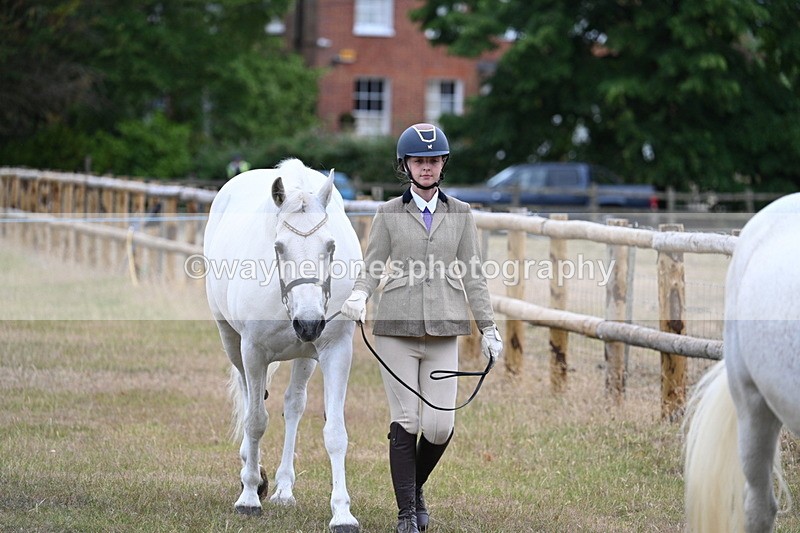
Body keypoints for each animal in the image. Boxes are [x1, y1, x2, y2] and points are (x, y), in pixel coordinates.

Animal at [203, 158, 362, 532]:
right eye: (279, 247)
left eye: (330, 246)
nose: (309, 322)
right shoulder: (252, 351)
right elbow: (256, 421)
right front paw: (249, 496)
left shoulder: (335, 350)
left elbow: (335, 432)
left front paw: (342, 513)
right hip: (231, 341)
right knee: (248, 397)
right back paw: (252, 473)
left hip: (306, 356)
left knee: (293, 406)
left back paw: (283, 489)